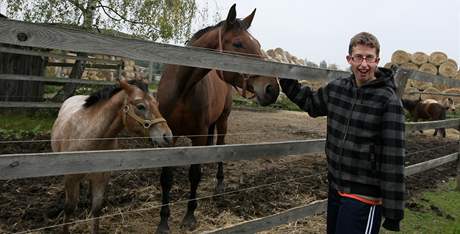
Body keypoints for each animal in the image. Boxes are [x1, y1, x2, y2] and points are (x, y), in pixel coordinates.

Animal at [50, 79, 172, 233]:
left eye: (157, 104)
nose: (167, 136)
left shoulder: (102, 177)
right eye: (141, 106)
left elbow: (96, 209)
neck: (90, 136)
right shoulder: (71, 177)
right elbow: (69, 208)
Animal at [156, 4, 280, 234]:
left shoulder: (199, 135)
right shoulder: (169, 138)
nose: (272, 89)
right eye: (238, 43)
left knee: (220, 146)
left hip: (222, 122)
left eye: (258, 45)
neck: (183, 90)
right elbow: (166, 178)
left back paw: (219, 185)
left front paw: (189, 216)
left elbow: (194, 174)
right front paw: (163, 222)